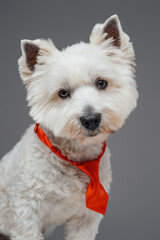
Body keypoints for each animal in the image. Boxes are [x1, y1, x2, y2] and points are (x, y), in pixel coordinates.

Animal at [0, 15, 138, 240]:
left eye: (101, 83)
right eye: (63, 93)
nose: (91, 119)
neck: (77, 159)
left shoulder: (86, 218)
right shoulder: (25, 213)